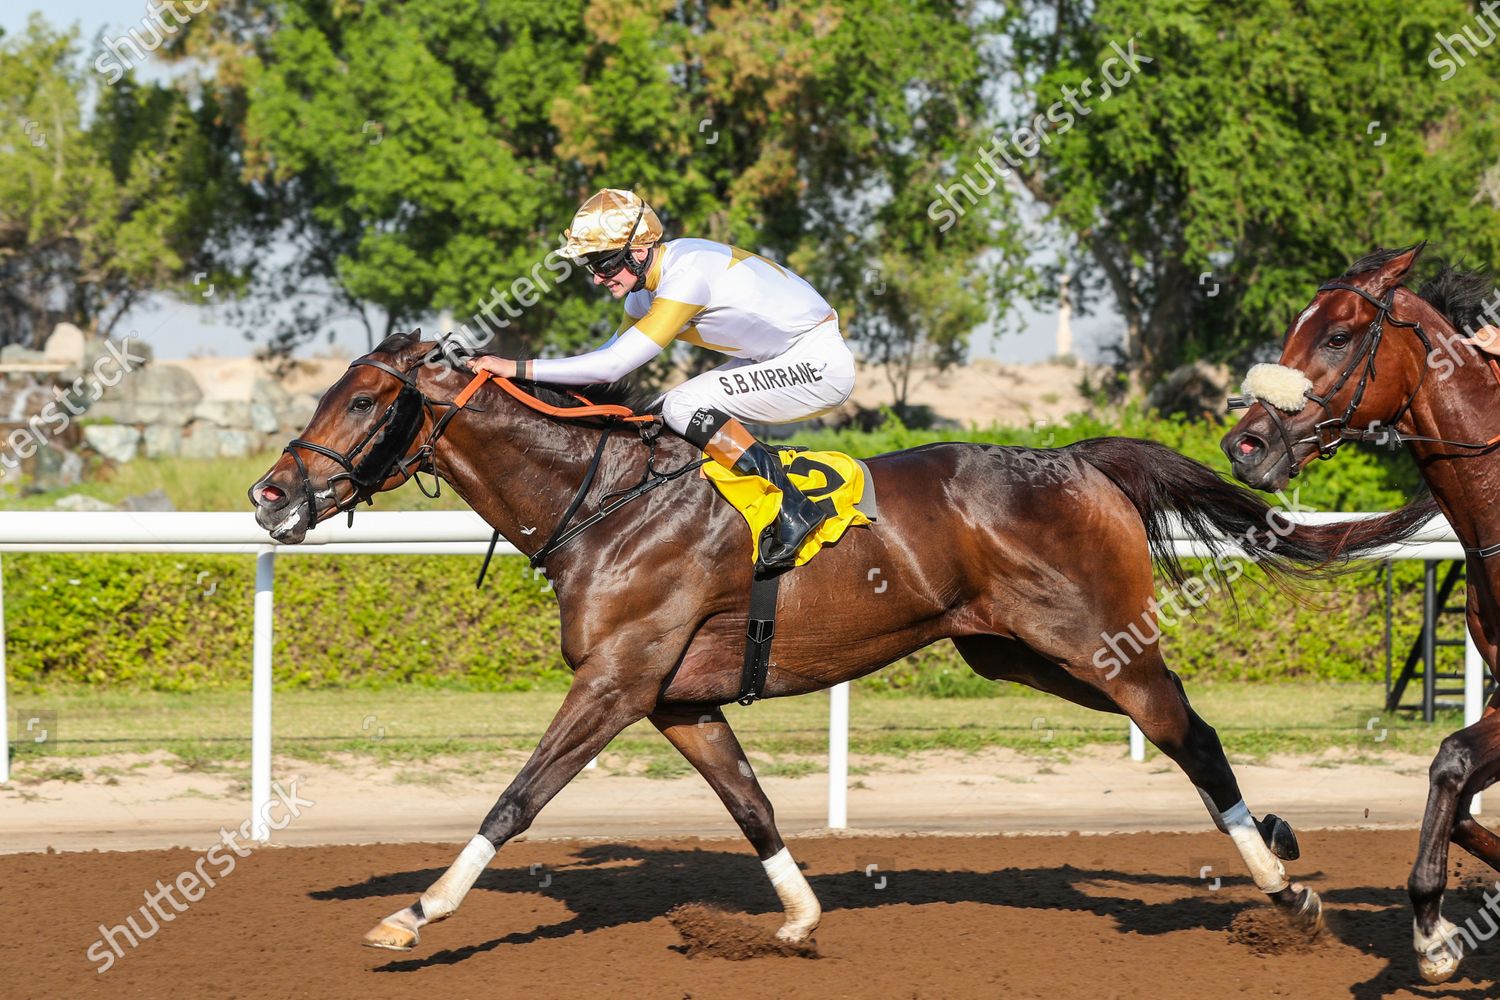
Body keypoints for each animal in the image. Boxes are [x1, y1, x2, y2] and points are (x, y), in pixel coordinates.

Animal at [255, 332, 1428, 959]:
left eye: (365, 398)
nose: (270, 495)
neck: (604, 503)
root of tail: (1077, 458)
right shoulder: (679, 699)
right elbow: (751, 806)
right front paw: (800, 917)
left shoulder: (617, 680)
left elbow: (516, 797)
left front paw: (415, 913)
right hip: (1018, 652)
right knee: (1191, 726)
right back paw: (1275, 837)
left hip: (1097, 643)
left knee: (1189, 733)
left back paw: (1280, 881)